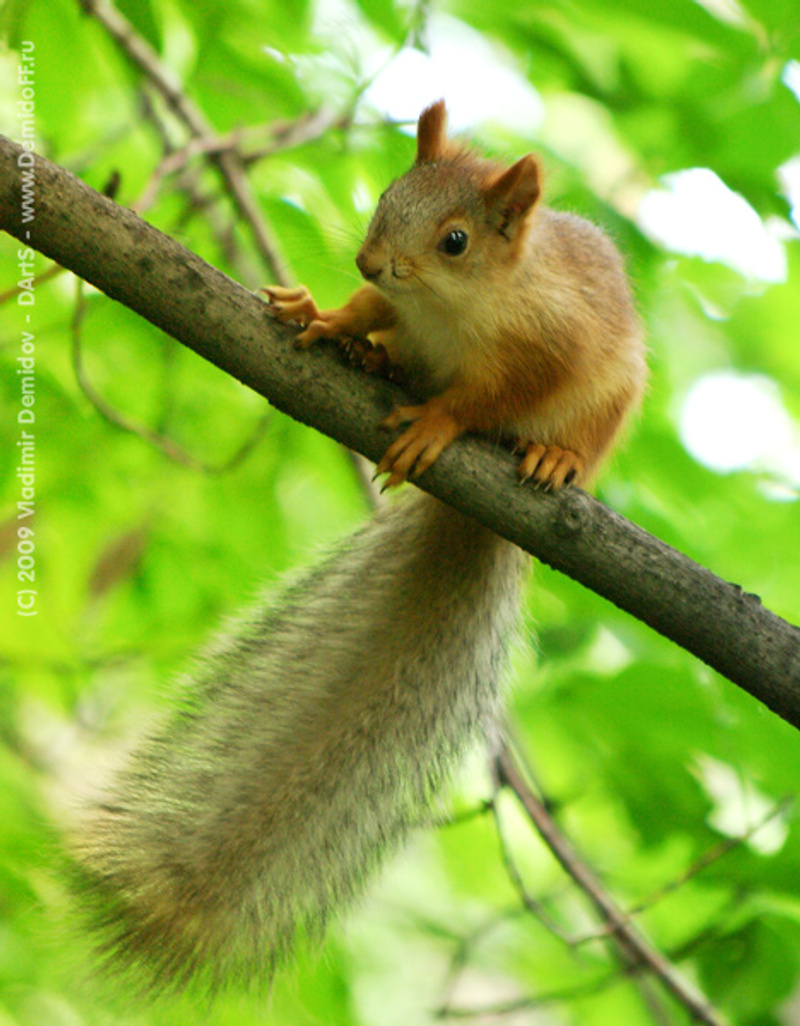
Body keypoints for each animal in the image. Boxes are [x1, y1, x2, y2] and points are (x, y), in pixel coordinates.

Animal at [75, 101, 647, 993]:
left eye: (456, 240)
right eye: (385, 196)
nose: (370, 260)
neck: (452, 307)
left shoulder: (549, 343)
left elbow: (488, 397)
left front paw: (440, 422)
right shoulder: (402, 309)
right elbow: (371, 311)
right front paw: (328, 317)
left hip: (609, 404)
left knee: (569, 433)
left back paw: (553, 458)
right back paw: (368, 356)